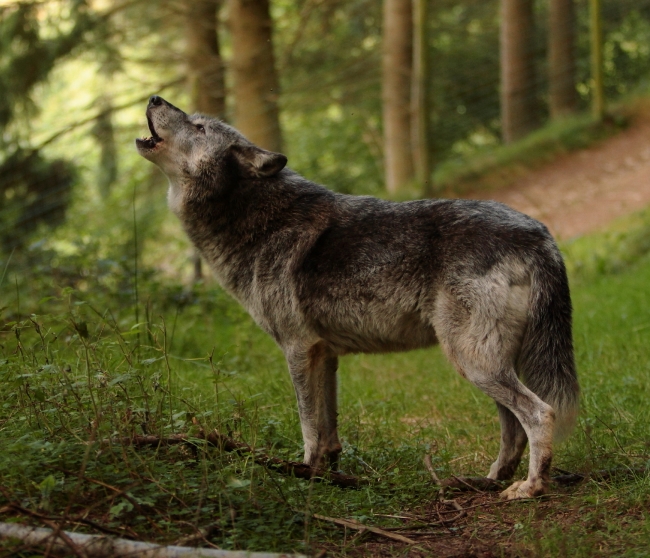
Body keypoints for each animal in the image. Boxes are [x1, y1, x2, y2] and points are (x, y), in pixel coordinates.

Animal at [136, 95, 579, 499]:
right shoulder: (325, 354)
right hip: (488, 364)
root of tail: (540, 234)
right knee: (513, 429)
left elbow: (308, 426)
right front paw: (328, 475)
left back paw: (530, 488)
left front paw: (303, 475)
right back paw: (487, 481)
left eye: (199, 128)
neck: (255, 220)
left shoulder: (297, 349)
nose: (155, 97)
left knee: (540, 413)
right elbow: (328, 429)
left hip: (475, 362)